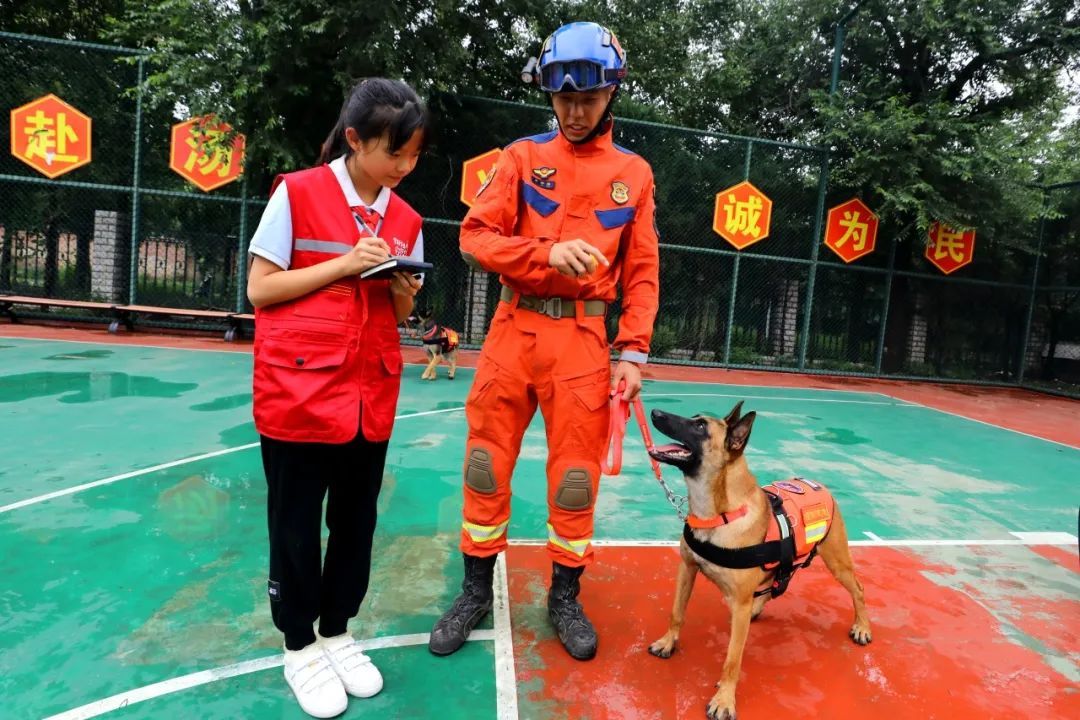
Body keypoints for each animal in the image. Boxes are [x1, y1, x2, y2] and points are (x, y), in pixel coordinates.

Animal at [646, 403, 871, 720]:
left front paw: (724, 699)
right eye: (694, 419)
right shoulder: (687, 569)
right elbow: (676, 612)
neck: (720, 513)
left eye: (700, 426)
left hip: (838, 562)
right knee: (776, 580)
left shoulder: (738, 602)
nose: (654, 412)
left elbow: (732, 659)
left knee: (858, 589)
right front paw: (668, 642)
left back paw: (862, 626)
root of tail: (818, 484)